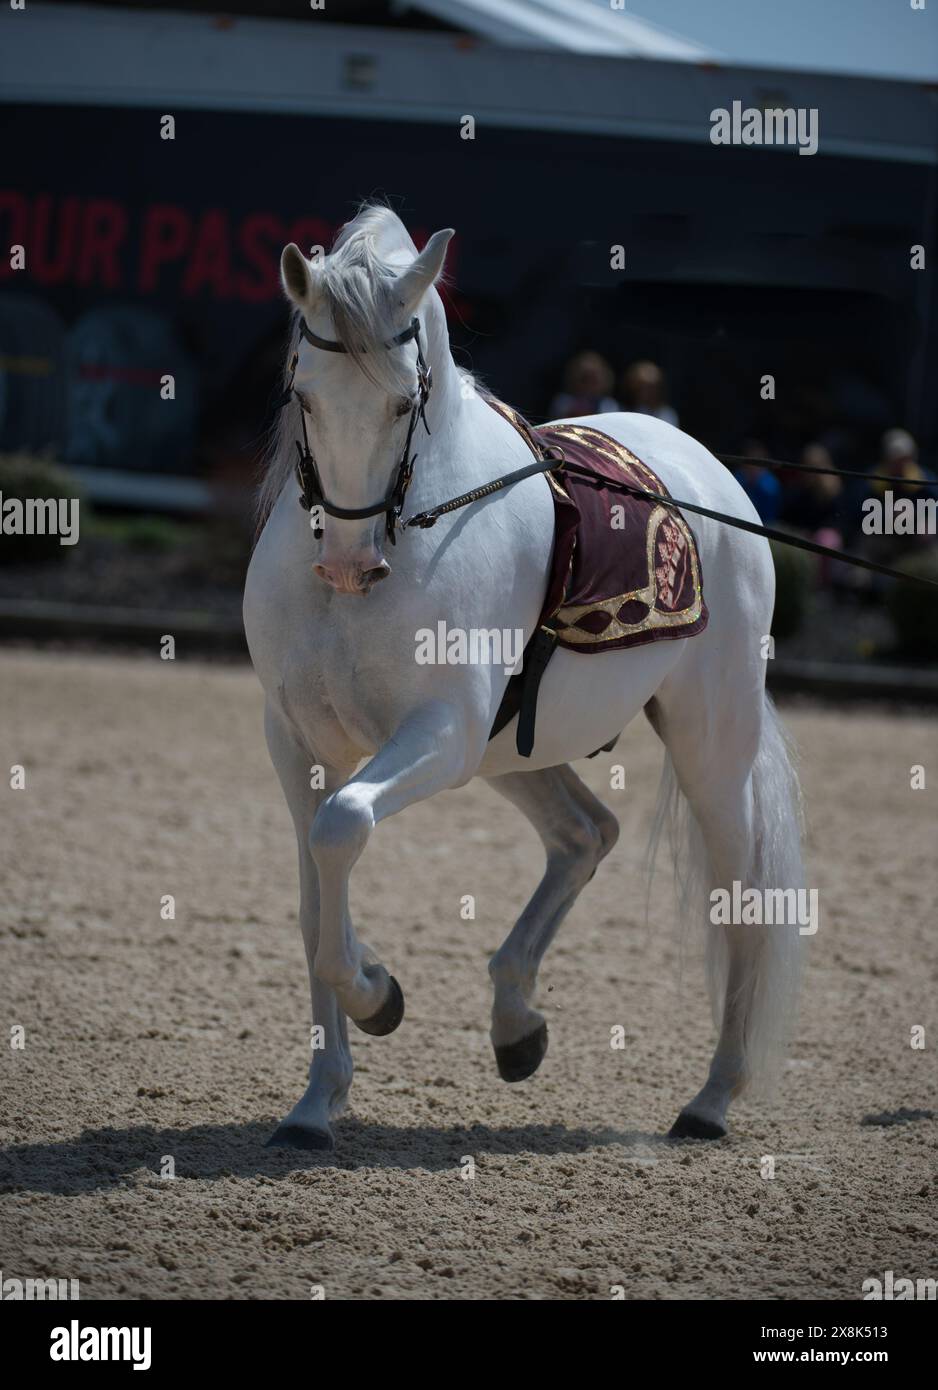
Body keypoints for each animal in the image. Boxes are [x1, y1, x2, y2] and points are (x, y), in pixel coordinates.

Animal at [243, 203, 804, 1151]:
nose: (351, 565)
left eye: (404, 401)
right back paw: (516, 1024)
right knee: (585, 833)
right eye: (303, 395)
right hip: (512, 753)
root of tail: (705, 468)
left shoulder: (440, 732)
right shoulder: (294, 744)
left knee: (740, 896)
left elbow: (343, 828)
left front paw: (377, 996)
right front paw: (317, 1103)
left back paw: (710, 1101)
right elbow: (316, 897)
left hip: (705, 747)